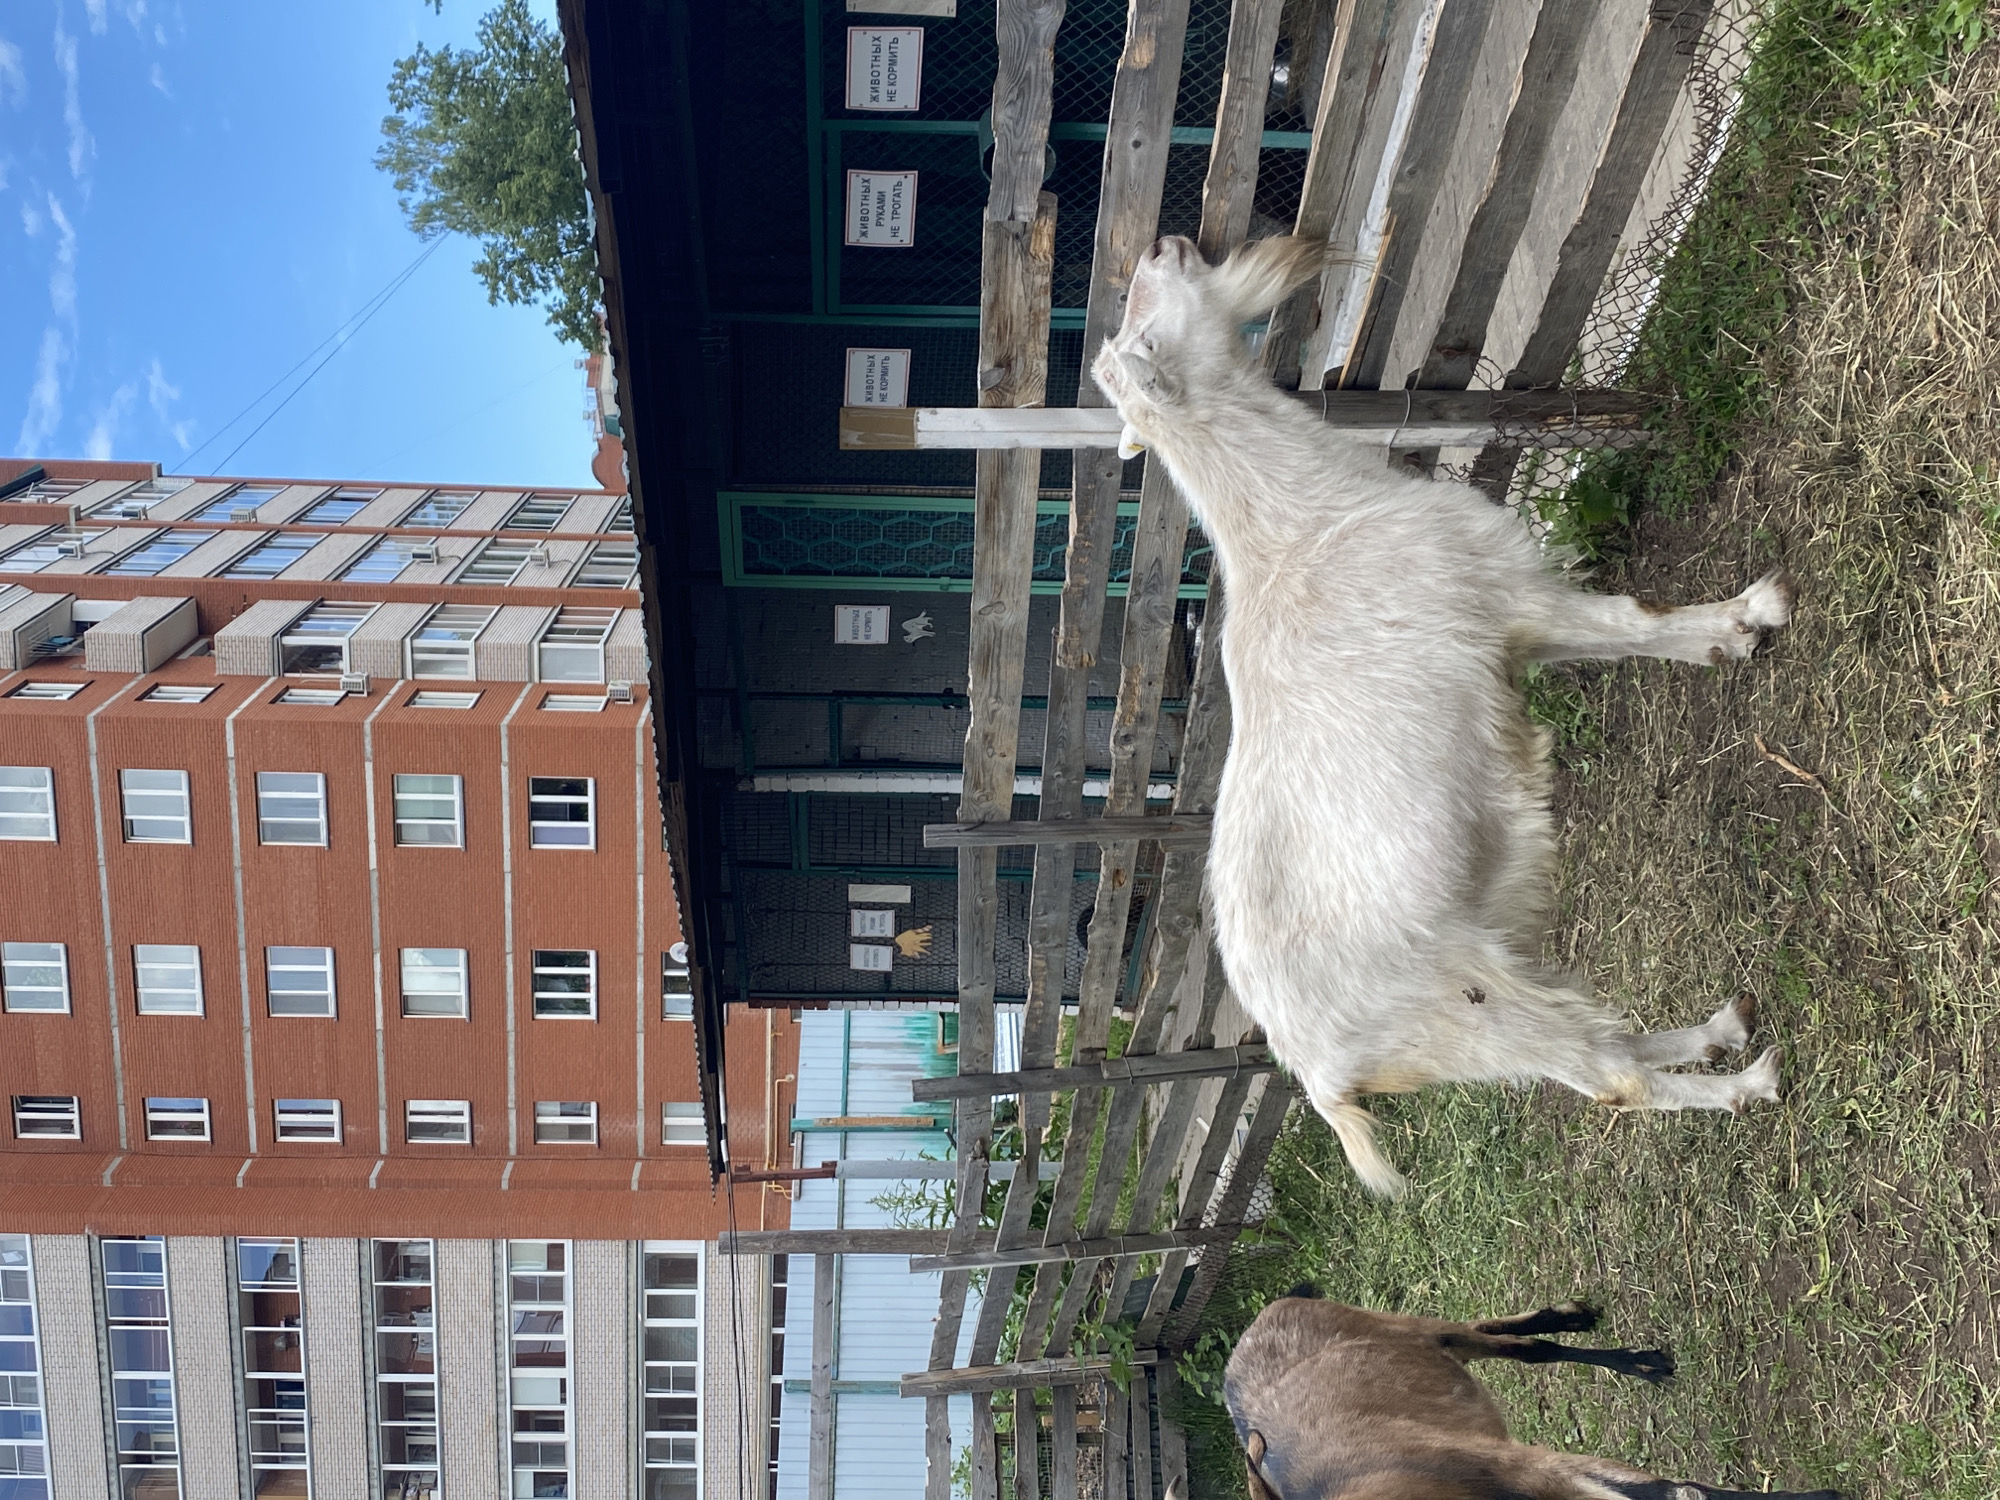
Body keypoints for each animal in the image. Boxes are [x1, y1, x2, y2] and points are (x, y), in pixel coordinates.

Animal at [1091, 235, 1793, 1199]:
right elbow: (1631, 620)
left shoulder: (1512, 635)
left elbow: (1623, 634)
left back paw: (1723, 1029)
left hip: (1480, 1002)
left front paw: (1727, 637)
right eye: (1147, 331)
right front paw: (1749, 616)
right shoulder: (1507, 595)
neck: (1297, 522)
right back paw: (1747, 1081)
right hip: (1472, 1004)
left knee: (1604, 1043)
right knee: (1610, 1080)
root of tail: (1321, 1079)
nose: (1162, 243)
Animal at [1211, 1291, 1841, 1500]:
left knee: (1518, 1345)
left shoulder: (1529, 1464)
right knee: (1494, 1338)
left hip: (1397, 1326)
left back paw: (1620, 1348)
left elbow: (1676, 1487)